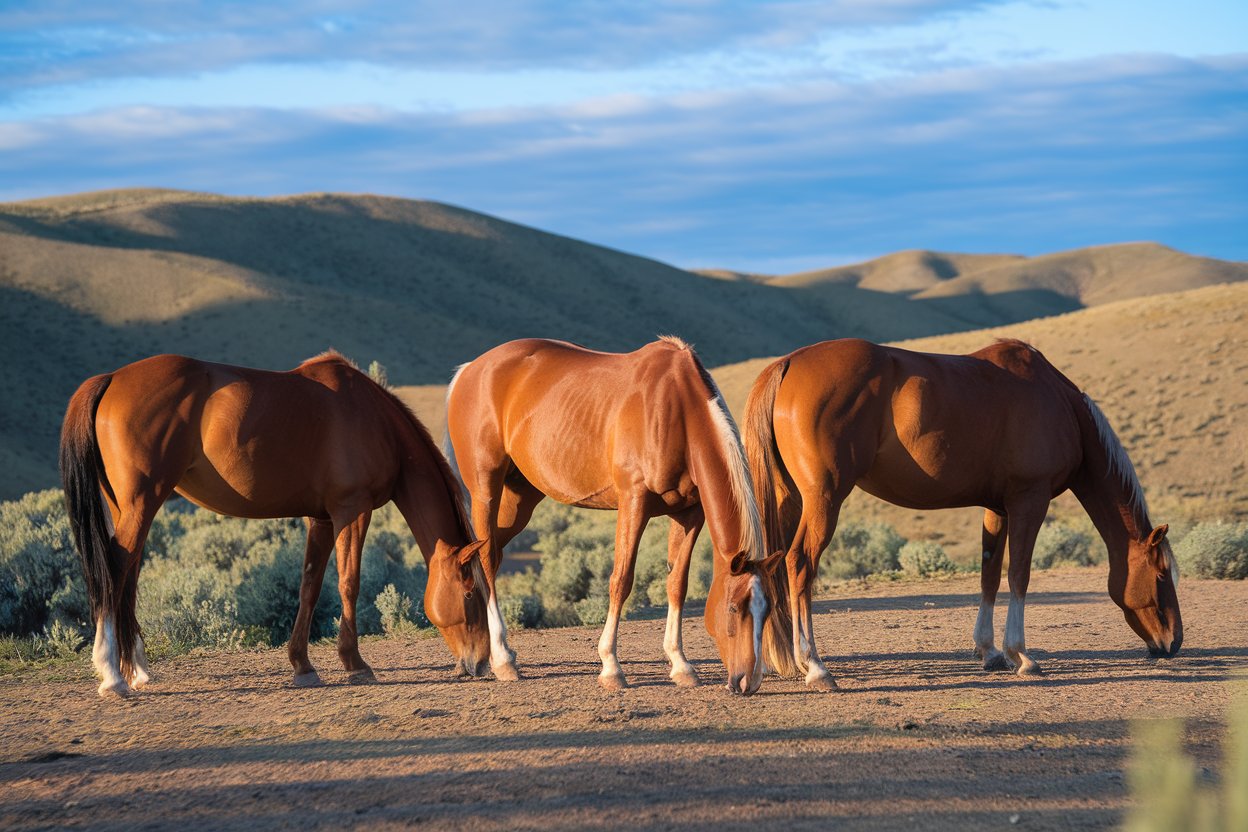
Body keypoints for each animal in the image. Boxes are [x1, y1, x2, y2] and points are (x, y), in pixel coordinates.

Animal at [59, 351, 491, 698]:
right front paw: (355, 664)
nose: (482, 662)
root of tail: (111, 379)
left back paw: (137, 670)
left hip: (131, 508)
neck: (374, 419)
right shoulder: (352, 510)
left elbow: (309, 587)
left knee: (128, 576)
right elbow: (348, 583)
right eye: (470, 593)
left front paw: (303, 665)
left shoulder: (321, 518)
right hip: (141, 503)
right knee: (115, 570)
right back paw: (112, 675)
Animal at [444, 337, 785, 694]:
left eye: (768, 608)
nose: (749, 681)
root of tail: (470, 370)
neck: (677, 411)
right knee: (485, 560)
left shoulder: (690, 513)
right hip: (486, 491)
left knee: (490, 555)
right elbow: (621, 580)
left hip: (520, 499)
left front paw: (680, 664)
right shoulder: (634, 503)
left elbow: (677, 582)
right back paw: (502, 659)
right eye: (734, 608)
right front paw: (611, 666)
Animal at [744, 338, 1183, 689]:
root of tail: (787, 363)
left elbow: (990, 573)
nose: (1173, 642)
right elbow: (1019, 573)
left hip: (789, 500)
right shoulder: (1030, 500)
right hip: (824, 499)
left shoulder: (997, 507)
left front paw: (989, 651)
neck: (1060, 404)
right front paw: (1022, 656)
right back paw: (816, 666)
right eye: (1161, 574)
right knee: (800, 564)